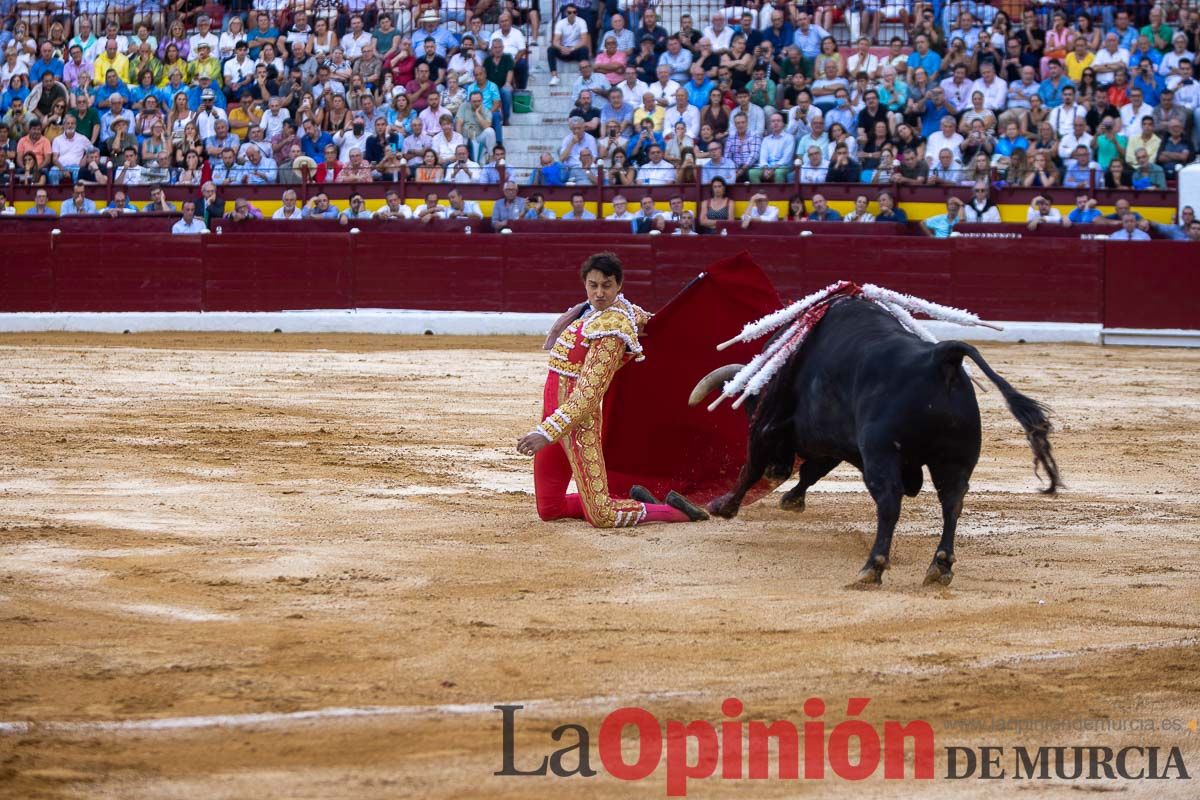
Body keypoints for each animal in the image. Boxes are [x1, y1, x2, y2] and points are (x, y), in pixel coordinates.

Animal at [691, 297, 1065, 585]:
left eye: (750, 407)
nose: (777, 470)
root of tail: (940, 357)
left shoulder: (772, 427)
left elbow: (751, 466)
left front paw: (723, 506)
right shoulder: (838, 439)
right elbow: (813, 470)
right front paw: (791, 499)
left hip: (881, 454)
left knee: (888, 503)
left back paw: (872, 568)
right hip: (956, 459)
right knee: (952, 502)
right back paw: (939, 567)